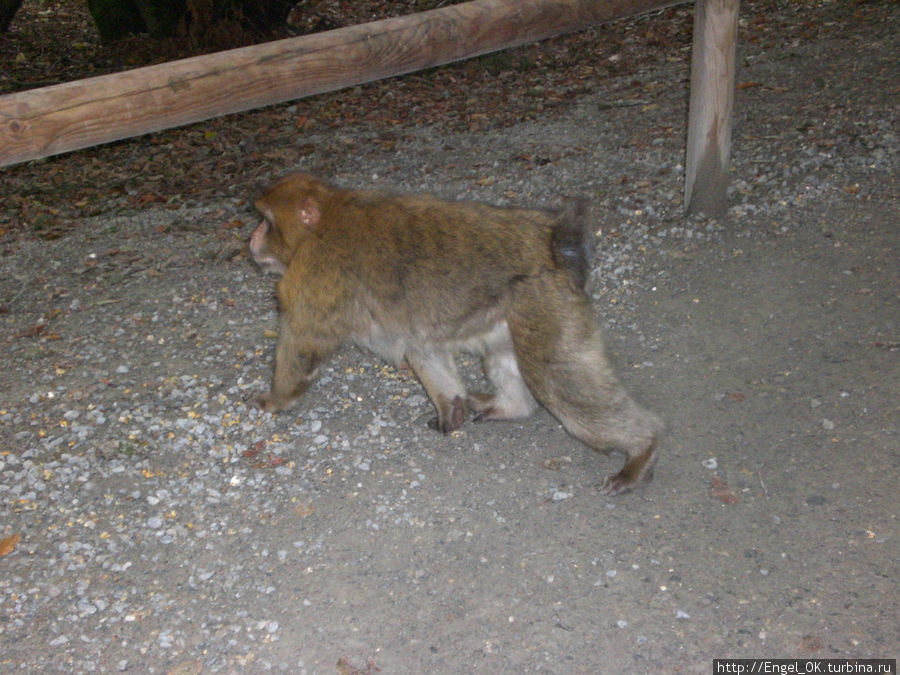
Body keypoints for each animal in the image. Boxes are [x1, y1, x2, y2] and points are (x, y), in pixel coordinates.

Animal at [248, 172, 660, 494]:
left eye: (266, 221)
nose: (251, 238)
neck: (321, 223)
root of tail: (553, 240)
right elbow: (422, 347)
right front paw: (450, 407)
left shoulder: (312, 275)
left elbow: (303, 346)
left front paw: (275, 400)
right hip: (516, 310)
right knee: (504, 358)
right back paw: (512, 407)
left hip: (545, 303)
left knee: (558, 381)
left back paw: (642, 450)